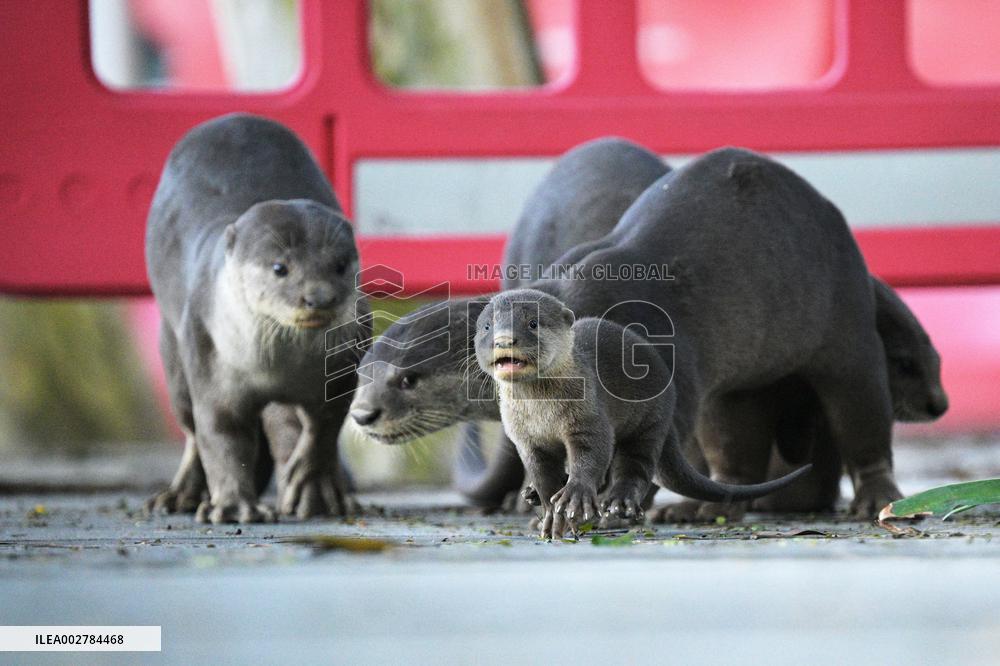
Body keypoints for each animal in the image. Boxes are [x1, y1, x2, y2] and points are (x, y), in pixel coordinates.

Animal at [145, 113, 369, 523]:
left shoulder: (339, 372)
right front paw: (234, 506)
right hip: (173, 352)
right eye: (280, 267)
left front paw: (305, 480)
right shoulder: (209, 358)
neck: (274, 369)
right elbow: (221, 435)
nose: (319, 297)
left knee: (286, 424)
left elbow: (324, 429)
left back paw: (324, 495)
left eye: (341, 264)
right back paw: (181, 495)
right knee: (190, 430)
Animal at [474, 289, 810, 538]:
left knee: (636, 465)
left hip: (650, 420)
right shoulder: (526, 438)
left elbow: (592, 454)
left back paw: (619, 502)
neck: (542, 413)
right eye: (488, 326)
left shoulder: (589, 418)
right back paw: (534, 495)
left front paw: (573, 497)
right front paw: (547, 508)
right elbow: (542, 473)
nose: (504, 339)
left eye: (533, 322)